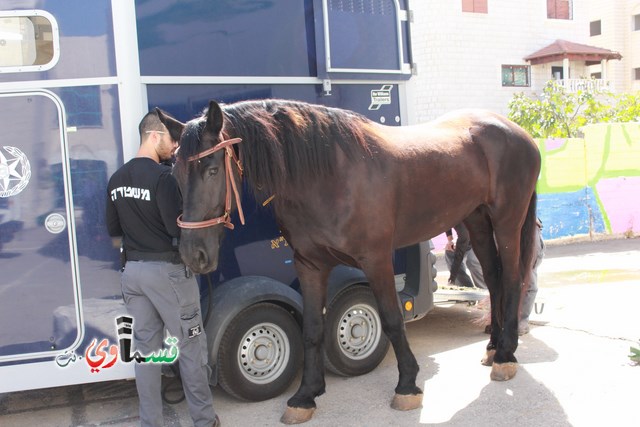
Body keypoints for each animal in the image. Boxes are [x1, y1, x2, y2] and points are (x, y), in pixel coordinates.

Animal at [159, 100, 540, 424]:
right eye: (175, 174)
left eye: (211, 170)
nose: (194, 254)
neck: (327, 174)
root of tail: (518, 132)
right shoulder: (309, 264)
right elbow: (313, 328)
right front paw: (305, 396)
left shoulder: (375, 258)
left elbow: (392, 319)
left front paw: (407, 385)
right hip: (477, 221)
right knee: (494, 278)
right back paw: (493, 347)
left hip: (507, 220)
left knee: (511, 278)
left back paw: (506, 356)